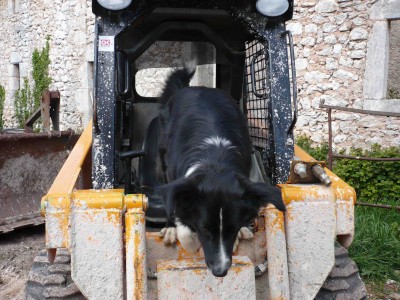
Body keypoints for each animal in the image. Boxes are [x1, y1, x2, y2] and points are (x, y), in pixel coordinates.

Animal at [156, 67, 284, 278]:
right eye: (204, 228)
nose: (220, 271)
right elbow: (181, 219)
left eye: (232, 228)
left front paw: (241, 231)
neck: (216, 162)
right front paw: (189, 241)